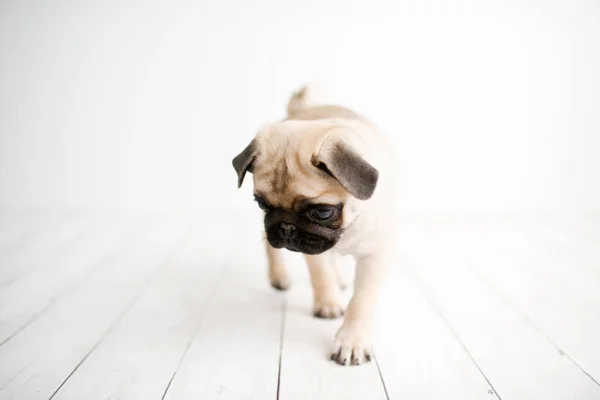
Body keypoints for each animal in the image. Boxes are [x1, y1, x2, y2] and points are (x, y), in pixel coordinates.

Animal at [232, 85, 396, 366]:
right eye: (262, 205)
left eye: (322, 212)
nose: (286, 228)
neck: (346, 229)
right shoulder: (311, 248)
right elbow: (321, 274)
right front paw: (328, 303)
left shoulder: (374, 256)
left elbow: (361, 300)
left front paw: (351, 340)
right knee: (272, 249)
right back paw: (279, 277)